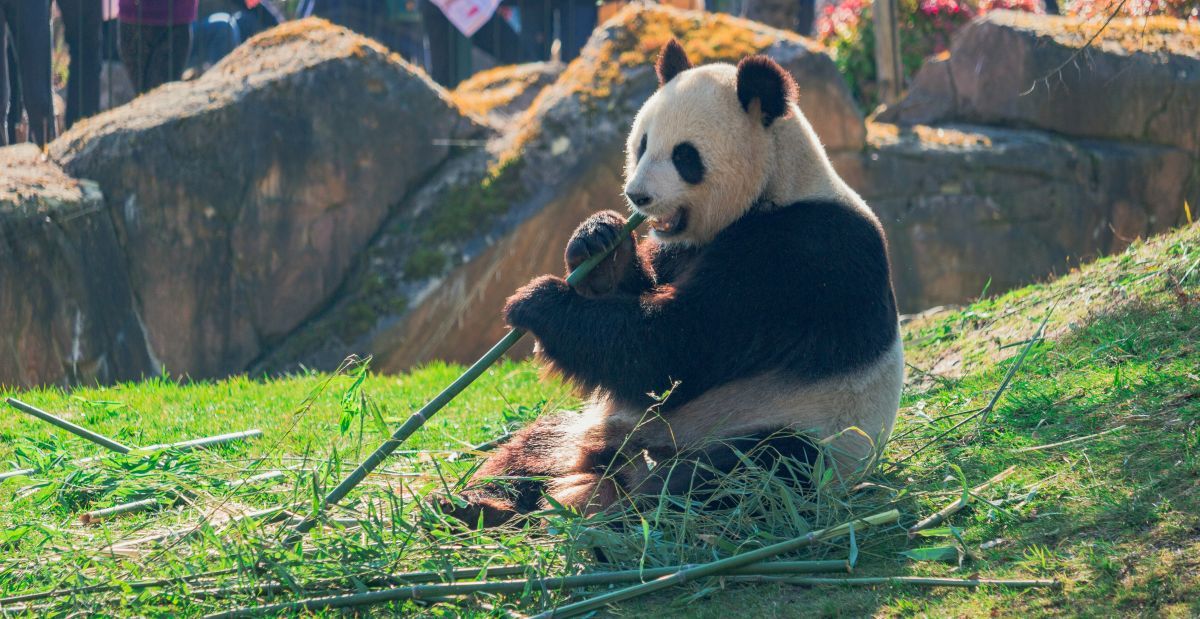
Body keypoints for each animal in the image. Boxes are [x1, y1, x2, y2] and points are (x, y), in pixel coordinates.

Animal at [447, 40, 903, 527]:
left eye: (685, 156)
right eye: (642, 143)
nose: (638, 196)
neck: (778, 183)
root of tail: (604, 462)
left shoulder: (802, 259)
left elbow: (672, 350)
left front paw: (536, 302)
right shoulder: (679, 248)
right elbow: (638, 319)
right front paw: (597, 239)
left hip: (791, 429)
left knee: (747, 473)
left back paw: (622, 511)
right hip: (592, 427)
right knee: (533, 444)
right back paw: (477, 503)